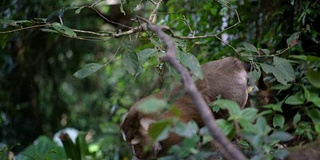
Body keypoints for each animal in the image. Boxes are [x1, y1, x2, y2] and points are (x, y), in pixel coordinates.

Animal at [121, 56, 249, 159]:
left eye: (135, 144)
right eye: (131, 144)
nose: (136, 153)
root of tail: (235, 63)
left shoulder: (170, 130)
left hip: (233, 89)